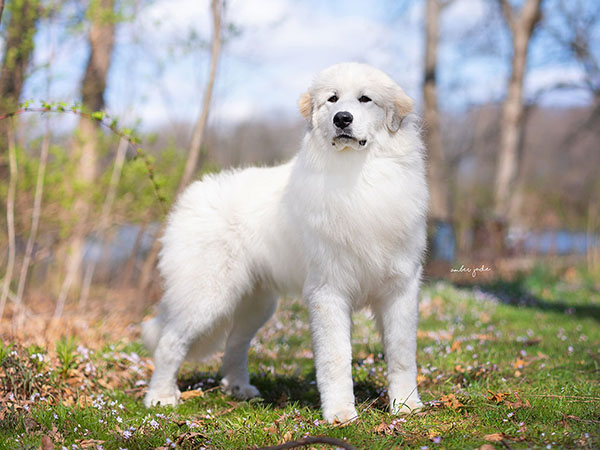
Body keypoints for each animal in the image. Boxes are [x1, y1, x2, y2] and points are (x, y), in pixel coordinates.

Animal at [143, 61, 428, 424]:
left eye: (365, 99)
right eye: (332, 99)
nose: (342, 119)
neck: (359, 176)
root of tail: (192, 196)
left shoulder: (400, 288)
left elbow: (402, 354)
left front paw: (406, 405)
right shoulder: (328, 292)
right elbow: (335, 358)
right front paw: (340, 414)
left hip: (256, 303)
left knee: (234, 345)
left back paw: (239, 389)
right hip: (206, 296)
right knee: (169, 343)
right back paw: (161, 397)